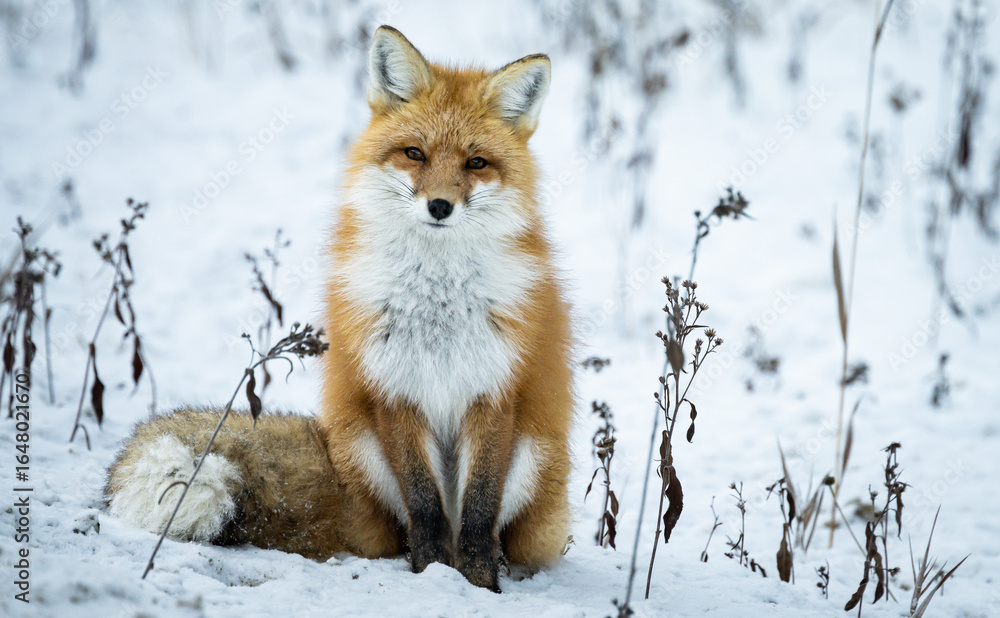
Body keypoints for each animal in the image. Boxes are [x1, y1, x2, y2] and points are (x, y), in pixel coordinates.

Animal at [105, 26, 574, 592]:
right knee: (403, 529)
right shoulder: (393, 387)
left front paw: (479, 584)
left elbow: (481, 511)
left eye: (476, 163)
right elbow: (425, 506)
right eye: (415, 153)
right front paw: (435, 574)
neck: (438, 299)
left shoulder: (495, 388)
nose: (440, 206)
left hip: (536, 456)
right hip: (362, 447)